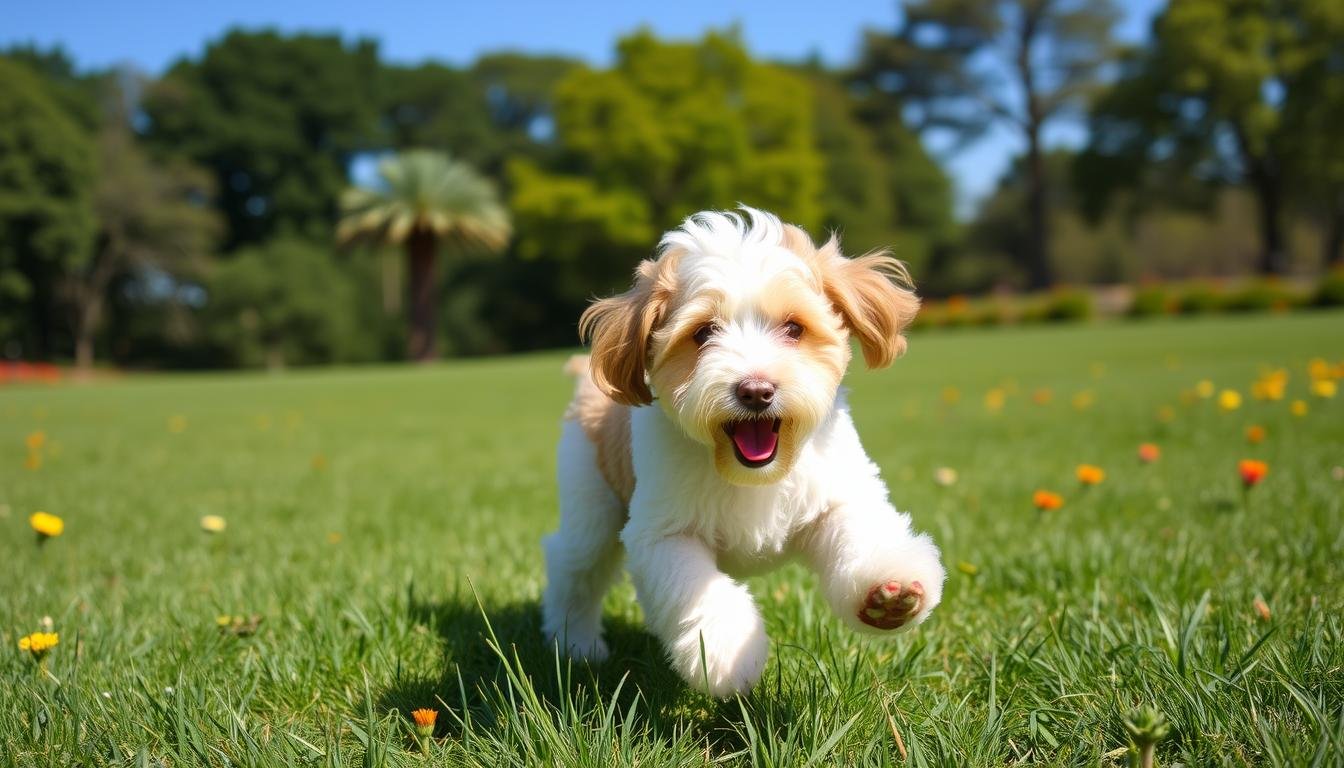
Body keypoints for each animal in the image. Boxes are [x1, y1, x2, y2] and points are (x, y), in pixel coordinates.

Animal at [542, 205, 946, 699]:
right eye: (703, 333)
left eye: (793, 328)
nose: (756, 390)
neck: (753, 474)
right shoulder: (663, 534)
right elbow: (698, 588)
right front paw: (726, 653)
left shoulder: (837, 494)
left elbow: (862, 532)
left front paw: (888, 594)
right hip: (591, 501)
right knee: (574, 565)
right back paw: (575, 644)